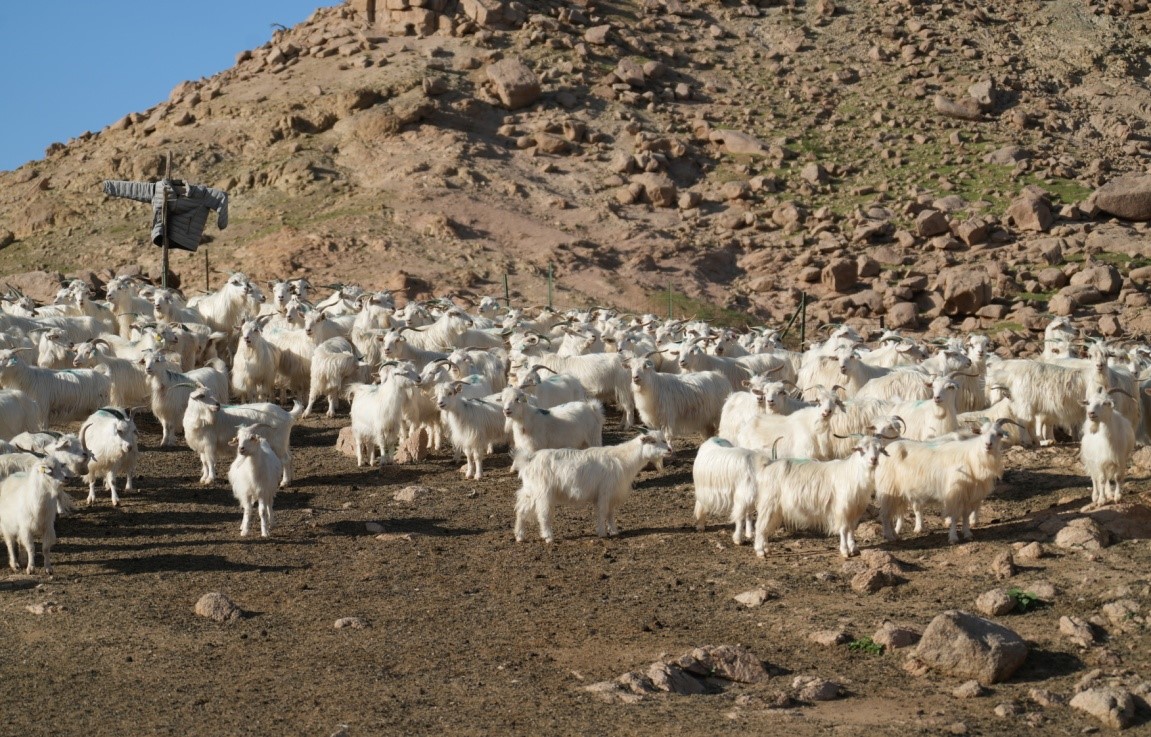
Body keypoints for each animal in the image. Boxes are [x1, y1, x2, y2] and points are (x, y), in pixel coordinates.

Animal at [513, 431, 672, 542]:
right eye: (654, 441)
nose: (669, 450)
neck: (623, 459)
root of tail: (529, 460)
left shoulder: (611, 495)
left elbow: (610, 514)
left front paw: (614, 531)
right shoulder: (605, 492)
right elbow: (602, 512)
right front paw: (602, 533)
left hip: (531, 491)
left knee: (521, 511)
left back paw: (520, 536)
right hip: (543, 492)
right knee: (543, 514)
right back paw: (548, 537)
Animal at [753, 434, 887, 559]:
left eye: (879, 449)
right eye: (861, 449)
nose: (874, 459)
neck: (852, 473)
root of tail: (767, 466)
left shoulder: (855, 510)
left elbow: (851, 529)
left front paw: (854, 549)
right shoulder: (842, 509)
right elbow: (844, 529)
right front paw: (845, 551)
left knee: (765, 527)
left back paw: (766, 549)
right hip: (769, 503)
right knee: (760, 525)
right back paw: (760, 551)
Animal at [874, 418, 1018, 544]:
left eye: (999, 434)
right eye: (981, 432)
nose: (988, 445)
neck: (972, 456)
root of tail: (887, 449)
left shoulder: (968, 494)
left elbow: (965, 515)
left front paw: (967, 534)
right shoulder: (955, 492)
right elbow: (954, 516)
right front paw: (953, 538)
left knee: (891, 513)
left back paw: (895, 535)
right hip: (889, 488)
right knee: (885, 514)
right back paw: (889, 536)